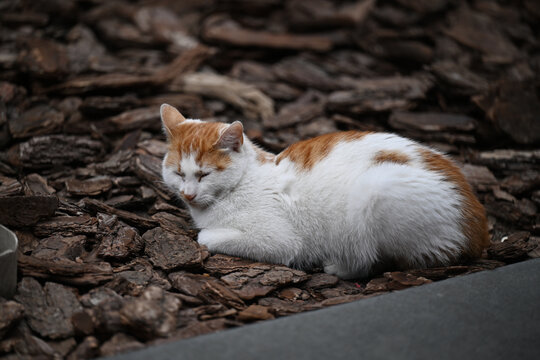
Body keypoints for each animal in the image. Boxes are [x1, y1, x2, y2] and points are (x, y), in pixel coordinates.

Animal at [159, 103, 490, 278]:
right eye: (178, 174)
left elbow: (206, 236)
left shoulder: (280, 240)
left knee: (370, 261)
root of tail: (478, 230)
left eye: (204, 174)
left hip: (372, 192)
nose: (188, 194)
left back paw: (336, 266)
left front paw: (206, 235)